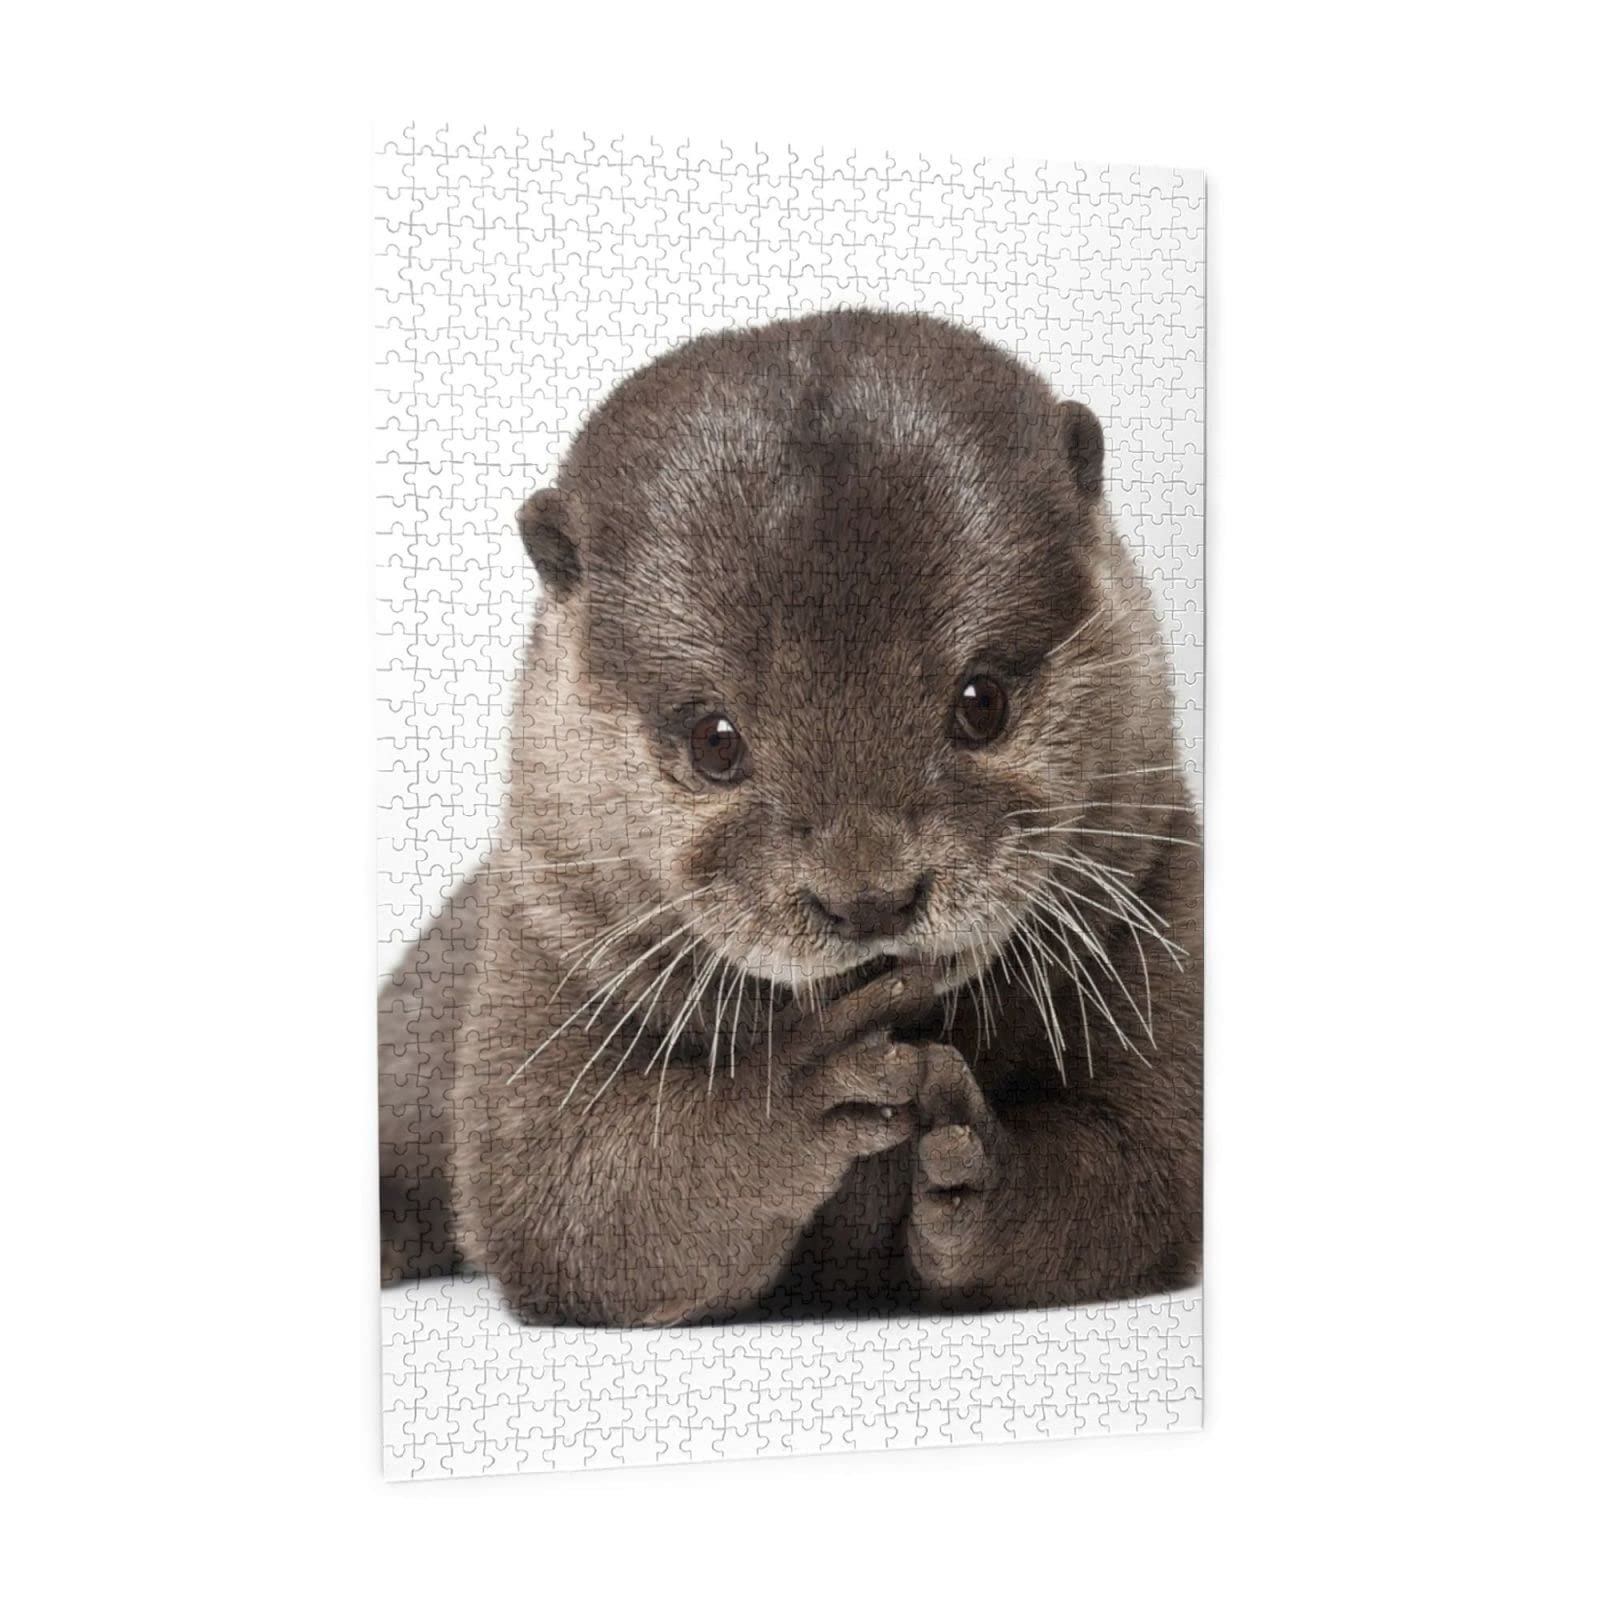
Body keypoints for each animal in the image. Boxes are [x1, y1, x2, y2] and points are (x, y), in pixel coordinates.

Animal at [379, 310, 1201, 1326]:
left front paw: (977, 1166)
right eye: (715, 739)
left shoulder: (1160, 902)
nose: (869, 897)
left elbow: (1146, 1170)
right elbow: (569, 1199)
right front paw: (808, 1081)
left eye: (982, 701)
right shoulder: (544, 943)